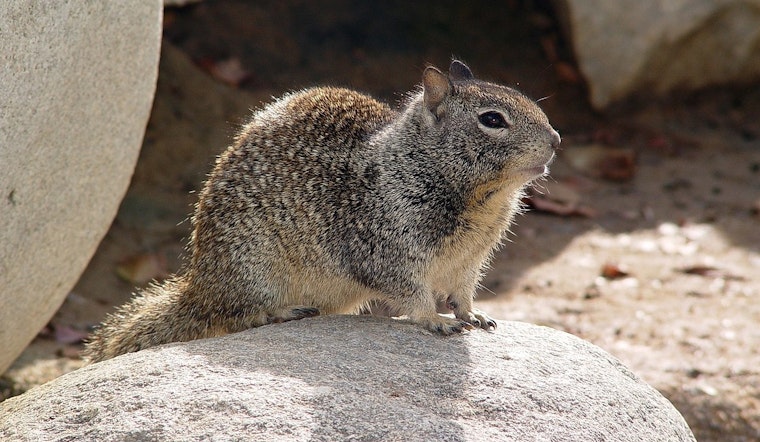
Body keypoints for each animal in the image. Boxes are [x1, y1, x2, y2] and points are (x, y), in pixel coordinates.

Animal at [84, 60, 560, 362]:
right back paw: (284, 312)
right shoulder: (386, 250)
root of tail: (198, 288)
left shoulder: (469, 261)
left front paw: (472, 315)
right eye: (492, 120)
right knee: (238, 316)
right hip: (253, 270)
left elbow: (462, 293)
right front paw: (434, 320)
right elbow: (413, 294)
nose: (556, 140)